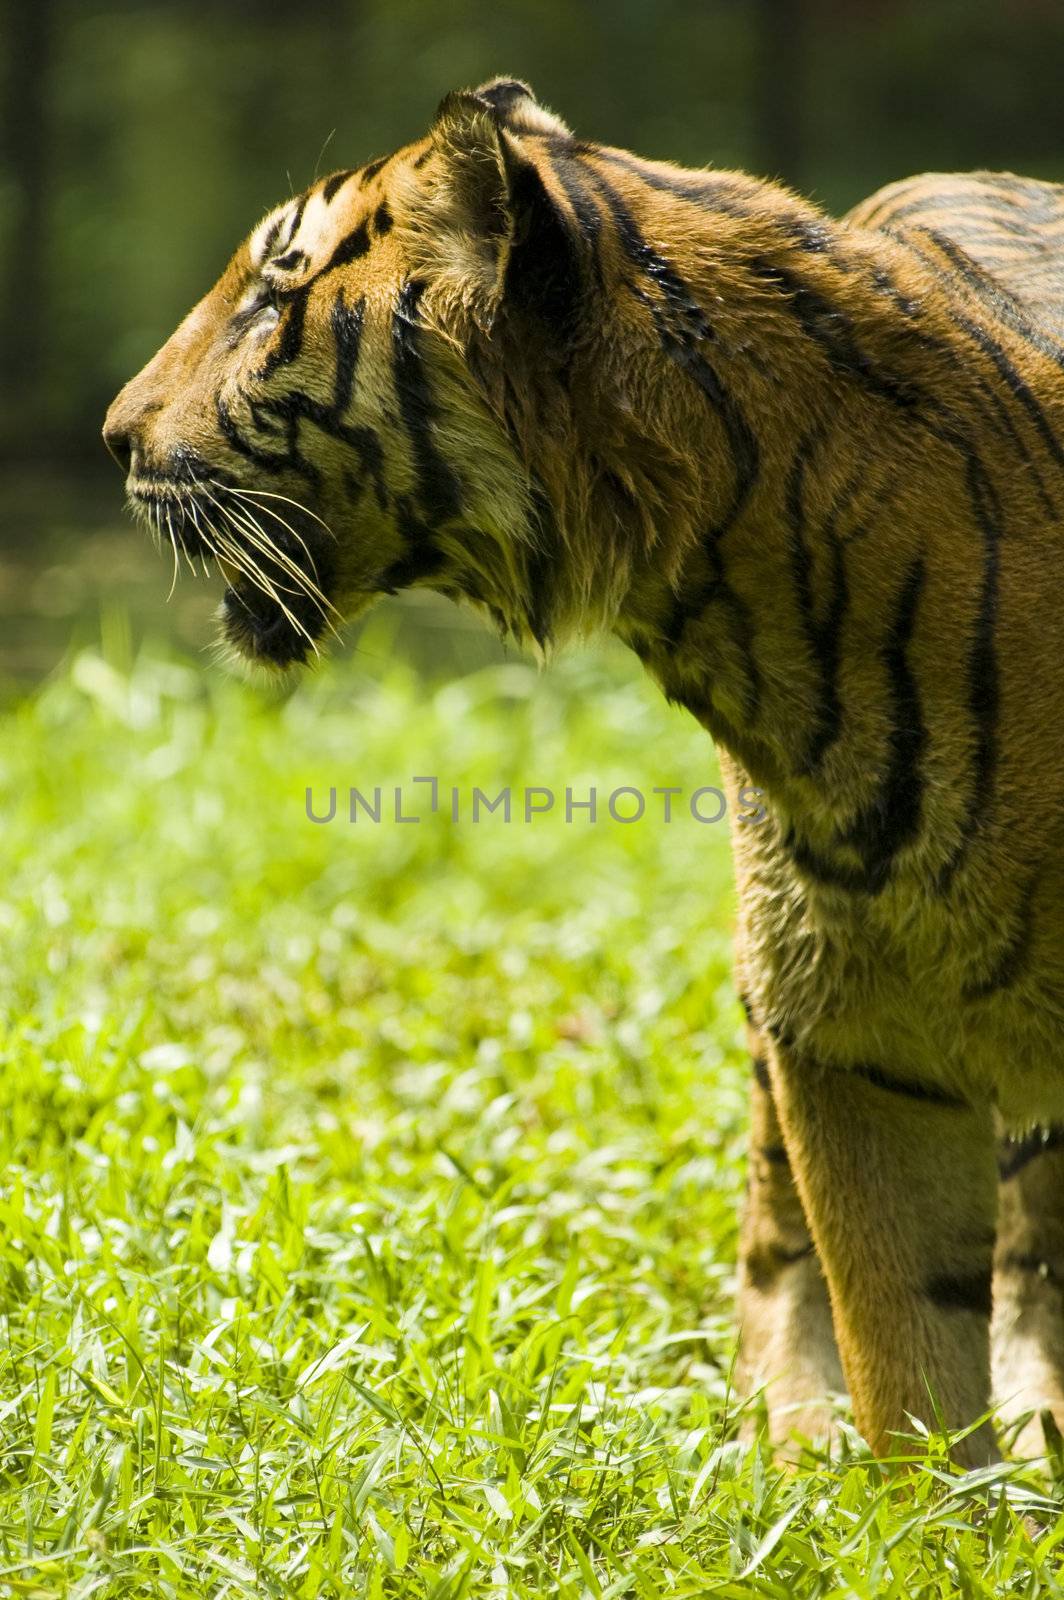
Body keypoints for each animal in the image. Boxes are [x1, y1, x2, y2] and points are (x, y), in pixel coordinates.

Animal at [101, 81, 1064, 1465]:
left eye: (271, 300)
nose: (114, 432)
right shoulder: (857, 1043)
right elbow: (909, 1370)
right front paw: (915, 1503)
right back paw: (793, 1438)